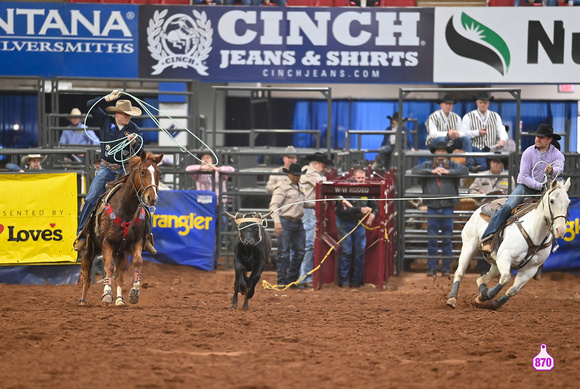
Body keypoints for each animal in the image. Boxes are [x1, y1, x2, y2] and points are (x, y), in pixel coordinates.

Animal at [77, 150, 163, 304]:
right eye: (142, 172)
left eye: (158, 173)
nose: (151, 198)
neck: (125, 208)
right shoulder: (107, 242)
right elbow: (108, 267)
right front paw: (106, 294)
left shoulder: (136, 242)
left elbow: (138, 262)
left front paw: (134, 292)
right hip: (89, 248)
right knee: (86, 275)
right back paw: (82, 300)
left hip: (121, 253)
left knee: (119, 276)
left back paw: (119, 300)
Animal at [446, 178, 568, 310]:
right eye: (552, 201)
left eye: (568, 202)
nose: (560, 230)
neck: (534, 231)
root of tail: (482, 206)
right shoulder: (505, 256)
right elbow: (505, 278)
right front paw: (486, 296)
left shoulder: (531, 269)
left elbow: (513, 290)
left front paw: (490, 301)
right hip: (469, 246)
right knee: (460, 272)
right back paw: (452, 298)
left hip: (495, 261)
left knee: (481, 279)